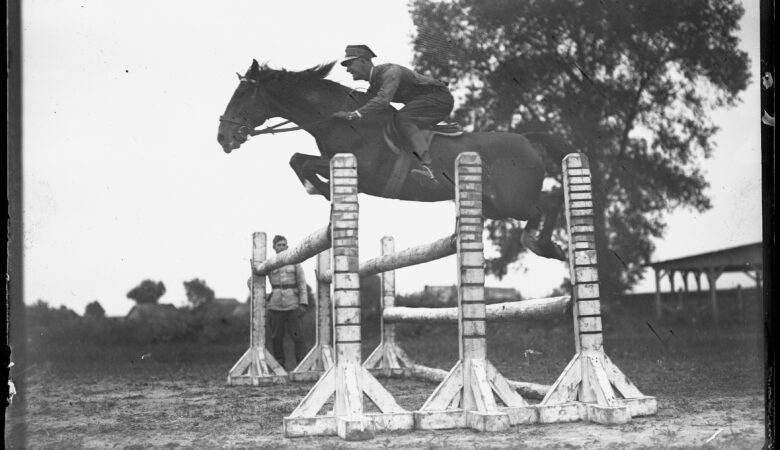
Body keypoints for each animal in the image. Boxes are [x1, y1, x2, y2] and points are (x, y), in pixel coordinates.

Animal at [216, 59, 568, 260]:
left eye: (242, 95)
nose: (223, 137)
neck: (342, 121)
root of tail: (527, 140)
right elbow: (297, 160)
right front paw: (324, 195)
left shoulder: (364, 172)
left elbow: (305, 164)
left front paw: (326, 194)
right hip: (496, 206)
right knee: (548, 202)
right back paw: (547, 246)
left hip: (512, 202)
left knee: (547, 204)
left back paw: (541, 245)